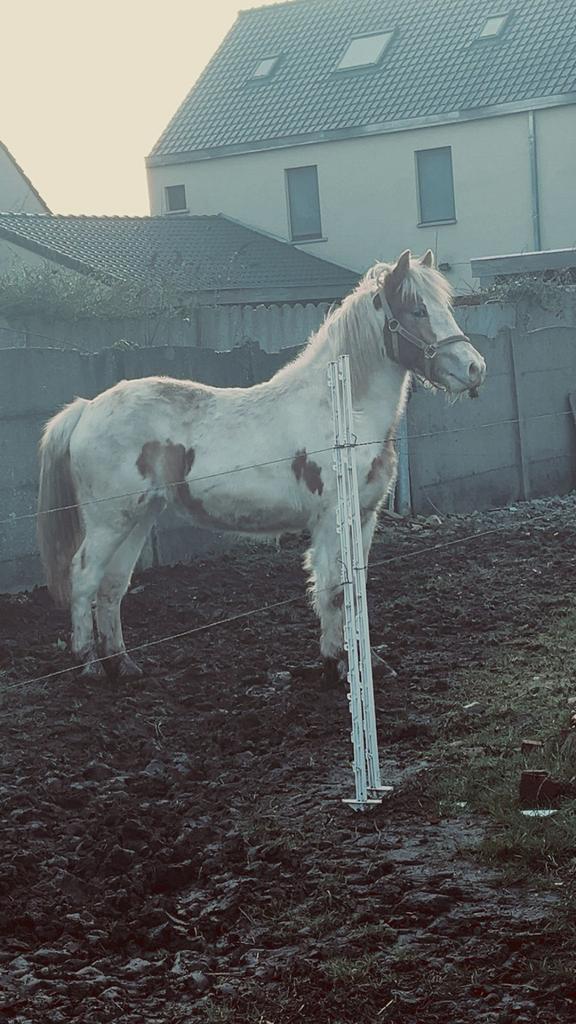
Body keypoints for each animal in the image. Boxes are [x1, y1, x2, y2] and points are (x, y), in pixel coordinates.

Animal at [37, 249, 486, 682]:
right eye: (417, 309)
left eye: (445, 305)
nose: (475, 368)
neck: (341, 409)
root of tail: (87, 408)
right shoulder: (330, 519)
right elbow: (333, 589)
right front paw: (340, 663)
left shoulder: (365, 517)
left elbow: (354, 587)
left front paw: (363, 663)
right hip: (109, 521)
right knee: (84, 578)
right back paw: (91, 665)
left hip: (139, 517)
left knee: (112, 586)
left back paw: (123, 664)